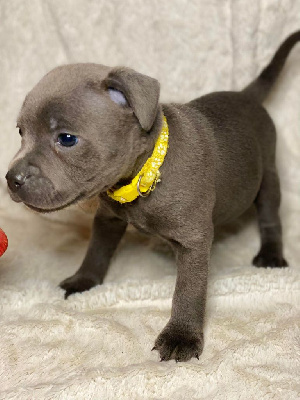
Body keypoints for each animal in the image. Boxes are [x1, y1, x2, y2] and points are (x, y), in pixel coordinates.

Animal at [5, 32, 298, 362]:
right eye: (21, 132)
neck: (146, 172)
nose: (12, 180)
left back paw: (271, 255)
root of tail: (246, 95)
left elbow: (188, 290)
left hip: (269, 176)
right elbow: (96, 251)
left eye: (66, 139)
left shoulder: (193, 241)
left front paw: (181, 335)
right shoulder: (107, 219)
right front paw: (84, 281)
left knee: (270, 216)